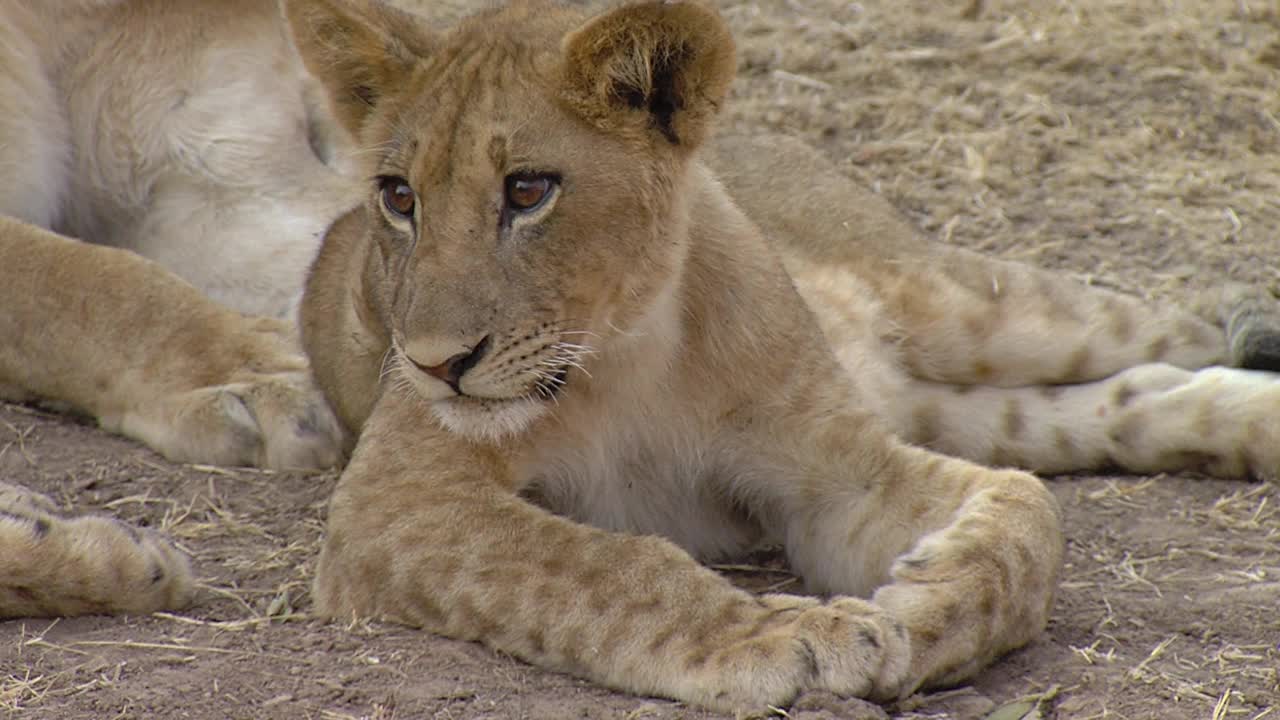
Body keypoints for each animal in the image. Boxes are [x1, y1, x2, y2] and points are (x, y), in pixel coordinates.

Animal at [0, 0, 1274, 707]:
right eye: (396, 196)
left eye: (528, 190)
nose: (433, 363)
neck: (630, 351)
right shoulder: (398, 499)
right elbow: (608, 565)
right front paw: (791, 638)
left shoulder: (839, 469)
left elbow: (1023, 520)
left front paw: (927, 603)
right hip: (975, 394)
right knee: (1123, 401)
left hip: (970, 305)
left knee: (1136, 325)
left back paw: (1246, 332)